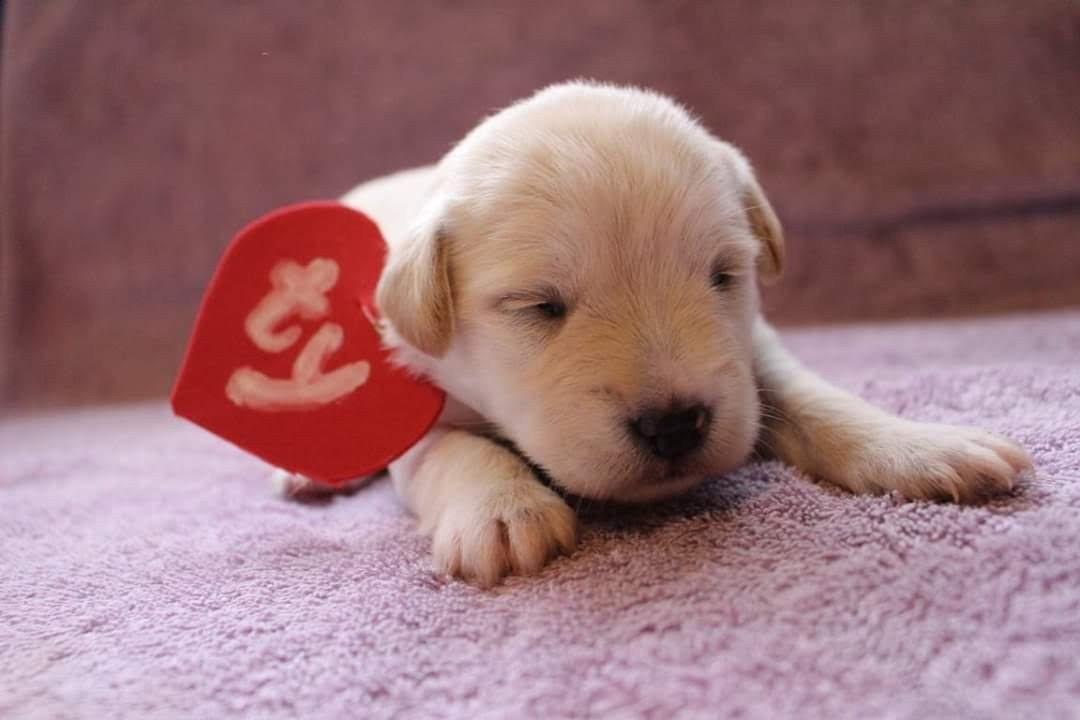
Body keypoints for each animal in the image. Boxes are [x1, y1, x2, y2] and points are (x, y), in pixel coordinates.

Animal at [336, 81, 1028, 587]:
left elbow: (813, 399)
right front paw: (506, 513)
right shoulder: (411, 398)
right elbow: (453, 450)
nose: (673, 426)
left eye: (723, 275)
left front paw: (924, 446)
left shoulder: (751, 352)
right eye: (539, 306)